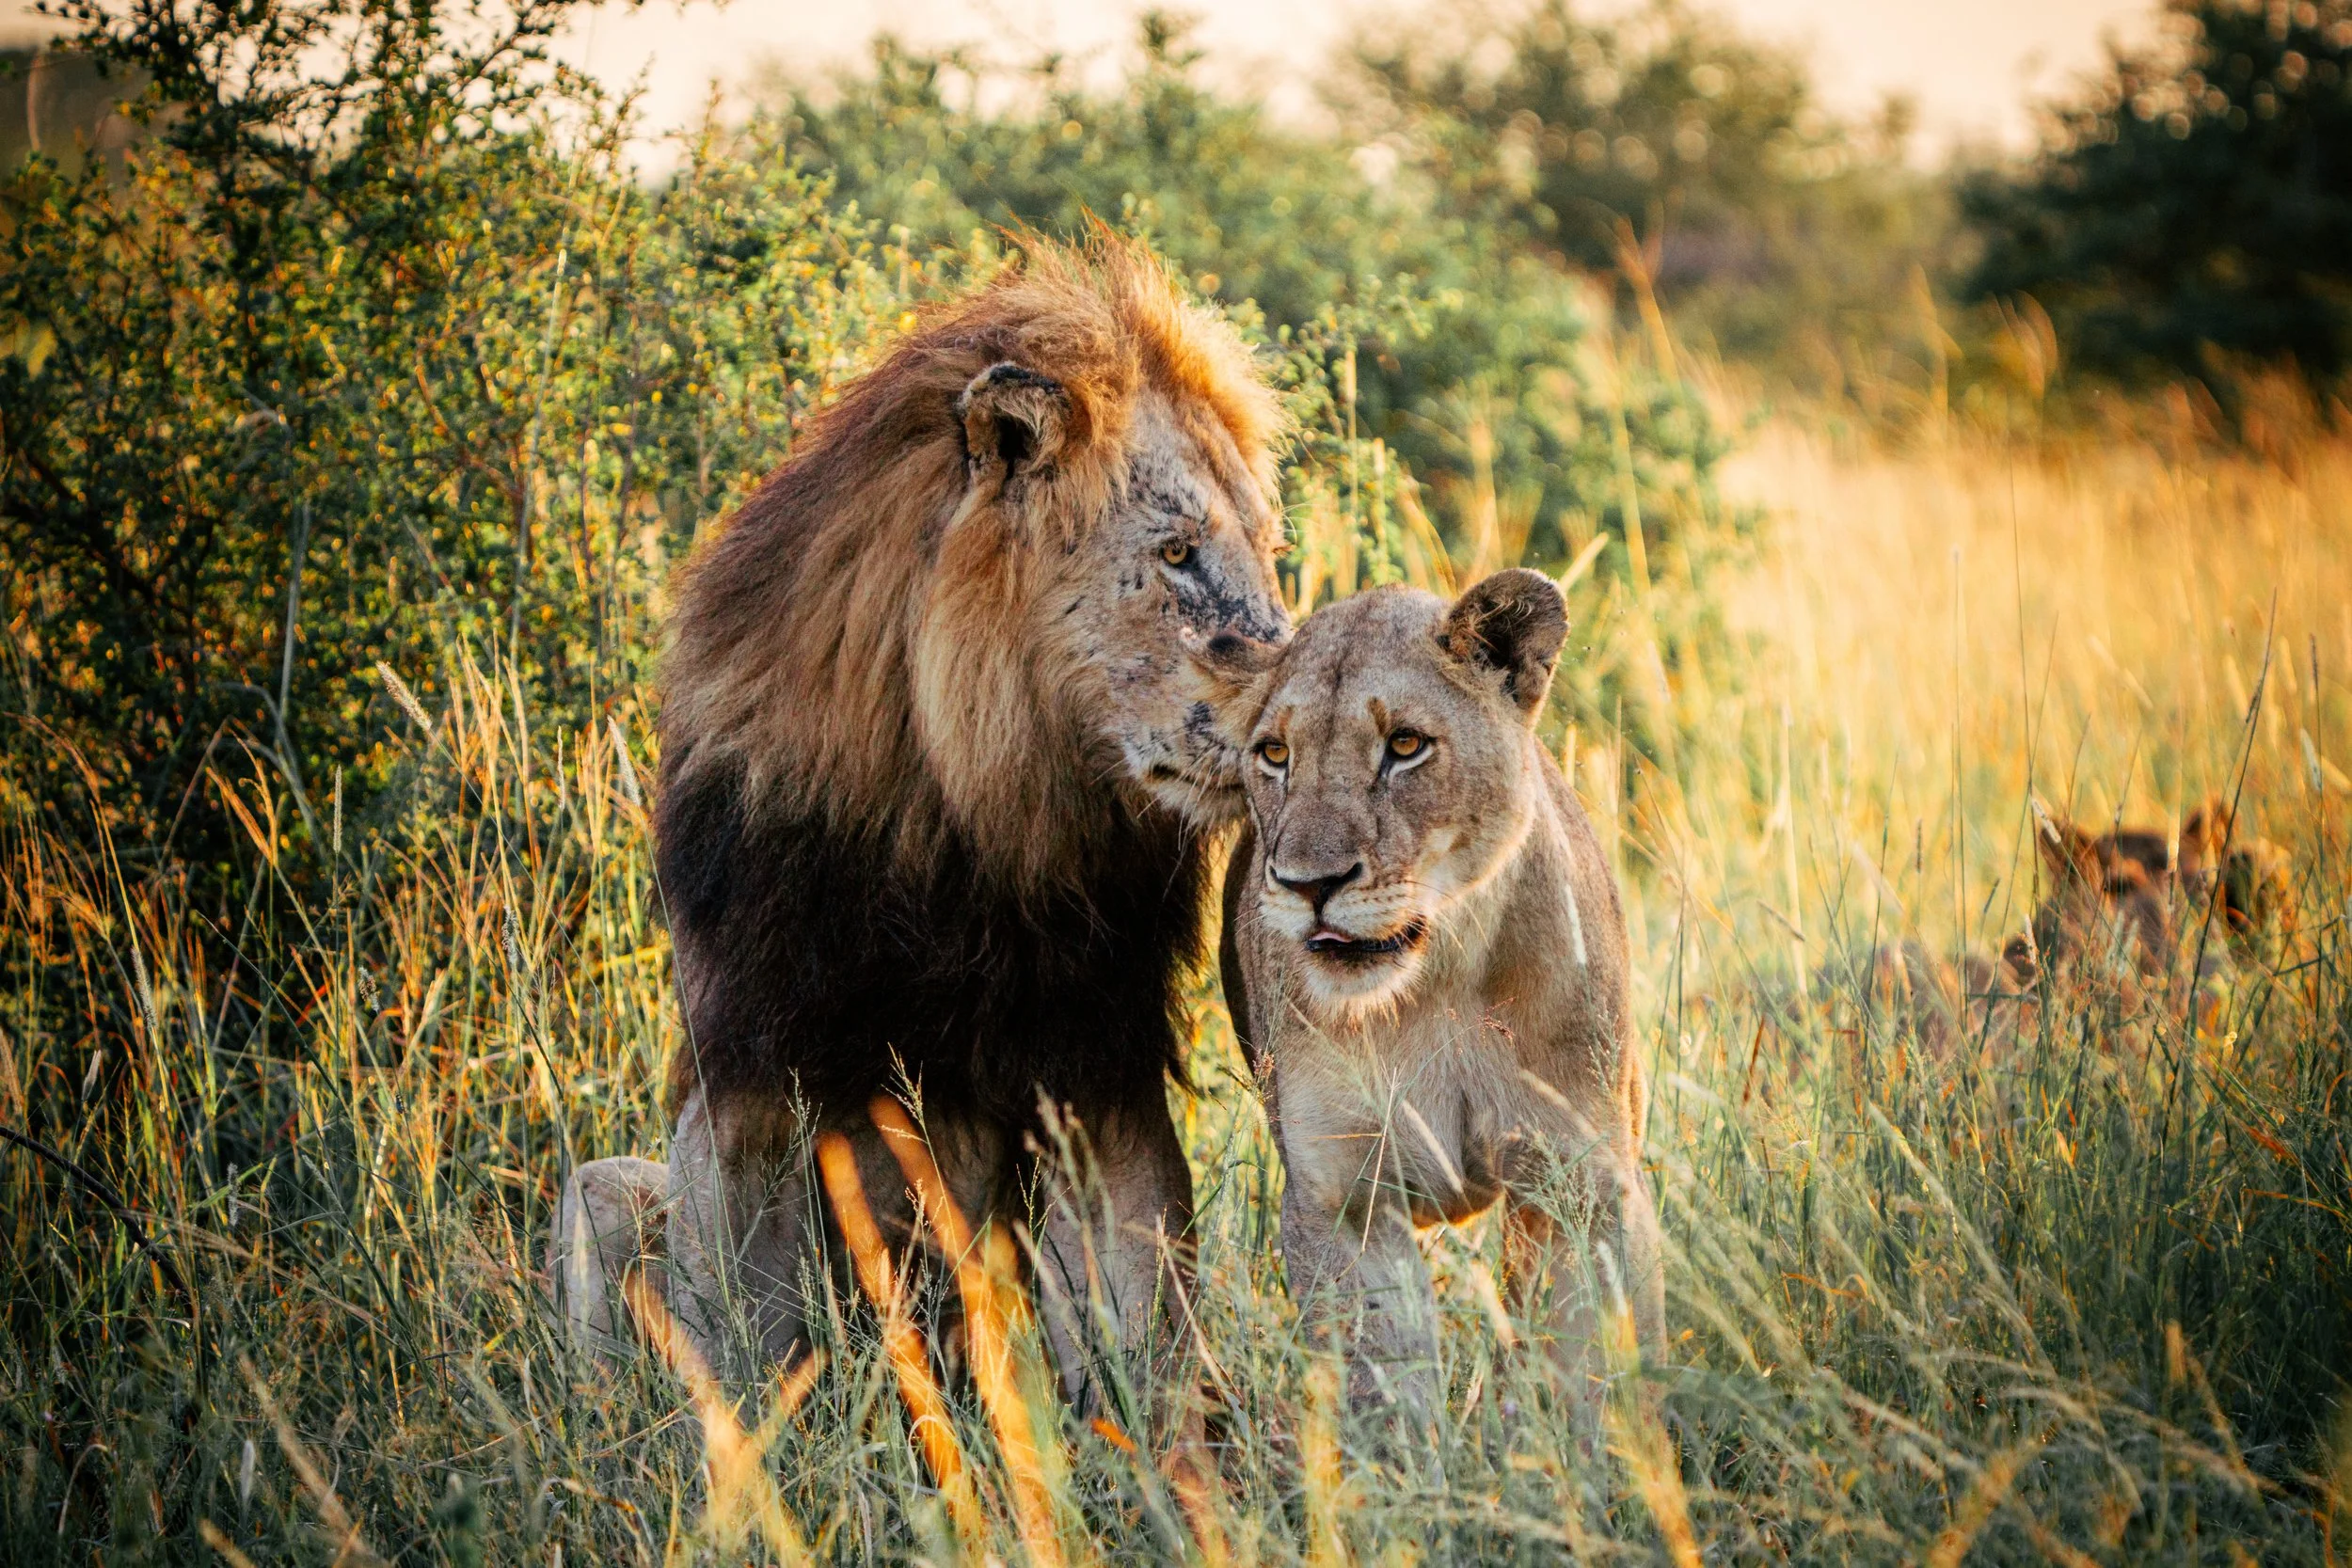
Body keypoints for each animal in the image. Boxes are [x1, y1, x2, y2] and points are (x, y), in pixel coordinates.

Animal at [551, 239, 1292, 1408]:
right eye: (1176, 552)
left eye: (1267, 549)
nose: (1295, 708)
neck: (967, 807)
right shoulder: (748, 1069)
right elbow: (737, 1342)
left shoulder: (1094, 1064)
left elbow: (1152, 1327)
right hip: (607, 1188)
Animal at [1209, 569, 1664, 1424]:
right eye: (1275, 753)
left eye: (1405, 745)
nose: (1309, 885)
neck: (1437, 982)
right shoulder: (1343, 1202)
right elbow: (1384, 1392)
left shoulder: (1581, 1185)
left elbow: (1593, 1380)